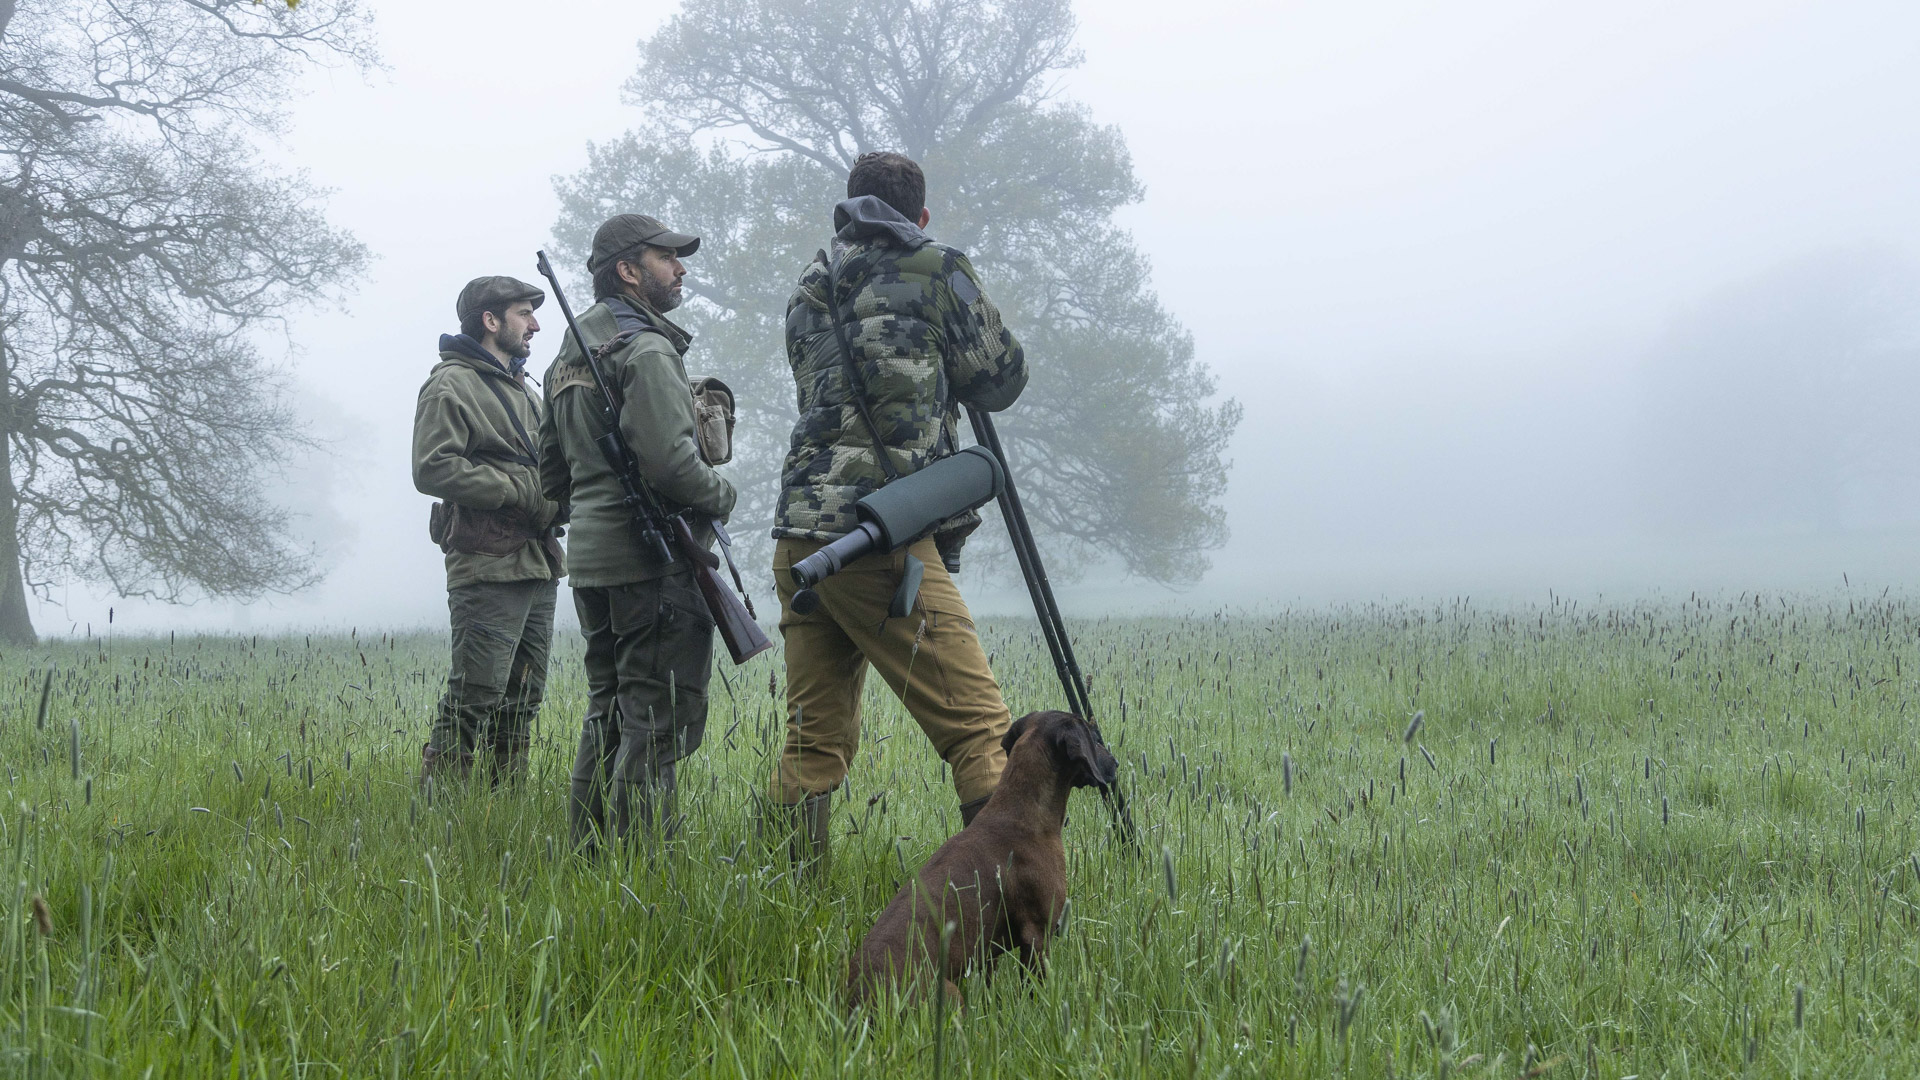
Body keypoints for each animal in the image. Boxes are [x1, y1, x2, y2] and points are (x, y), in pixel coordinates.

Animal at [848, 707, 1121, 999]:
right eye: (1094, 737)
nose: (1115, 764)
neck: (1019, 813)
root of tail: (855, 997)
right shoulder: (1038, 935)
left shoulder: (989, 953)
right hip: (950, 992)